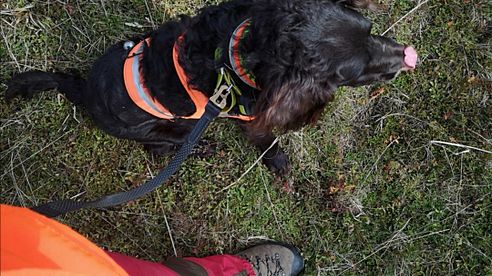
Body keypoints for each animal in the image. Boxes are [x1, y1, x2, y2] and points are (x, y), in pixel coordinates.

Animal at [5, 0, 418, 175]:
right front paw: (279, 161)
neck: (241, 50)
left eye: (369, 28)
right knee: (158, 148)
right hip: (162, 129)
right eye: (354, 72)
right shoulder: (251, 118)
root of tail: (81, 90)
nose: (406, 56)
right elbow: (266, 139)